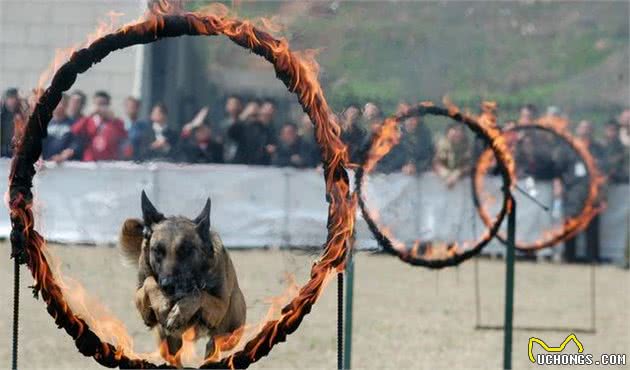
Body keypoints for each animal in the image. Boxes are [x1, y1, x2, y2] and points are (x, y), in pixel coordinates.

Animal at [119, 192, 248, 360]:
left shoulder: (218, 308)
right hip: (168, 343)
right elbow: (149, 281)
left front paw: (179, 312)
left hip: (231, 328)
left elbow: (199, 293)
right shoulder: (140, 299)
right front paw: (162, 304)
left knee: (214, 343)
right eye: (157, 251)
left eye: (186, 250)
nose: (167, 285)